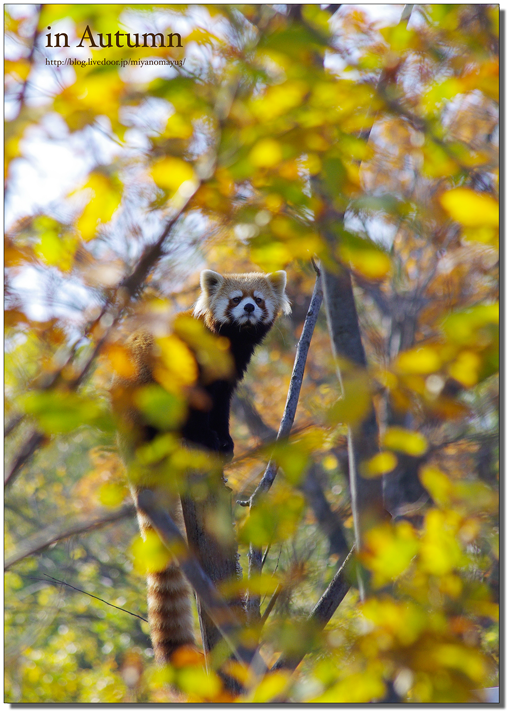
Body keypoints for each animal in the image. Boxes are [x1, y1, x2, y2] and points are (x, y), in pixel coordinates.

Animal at [112, 268, 288, 660]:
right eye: (237, 299)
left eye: (258, 298)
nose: (250, 308)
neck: (230, 341)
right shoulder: (189, 363)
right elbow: (194, 406)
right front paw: (205, 438)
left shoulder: (226, 376)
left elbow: (220, 406)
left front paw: (224, 442)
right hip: (144, 392)